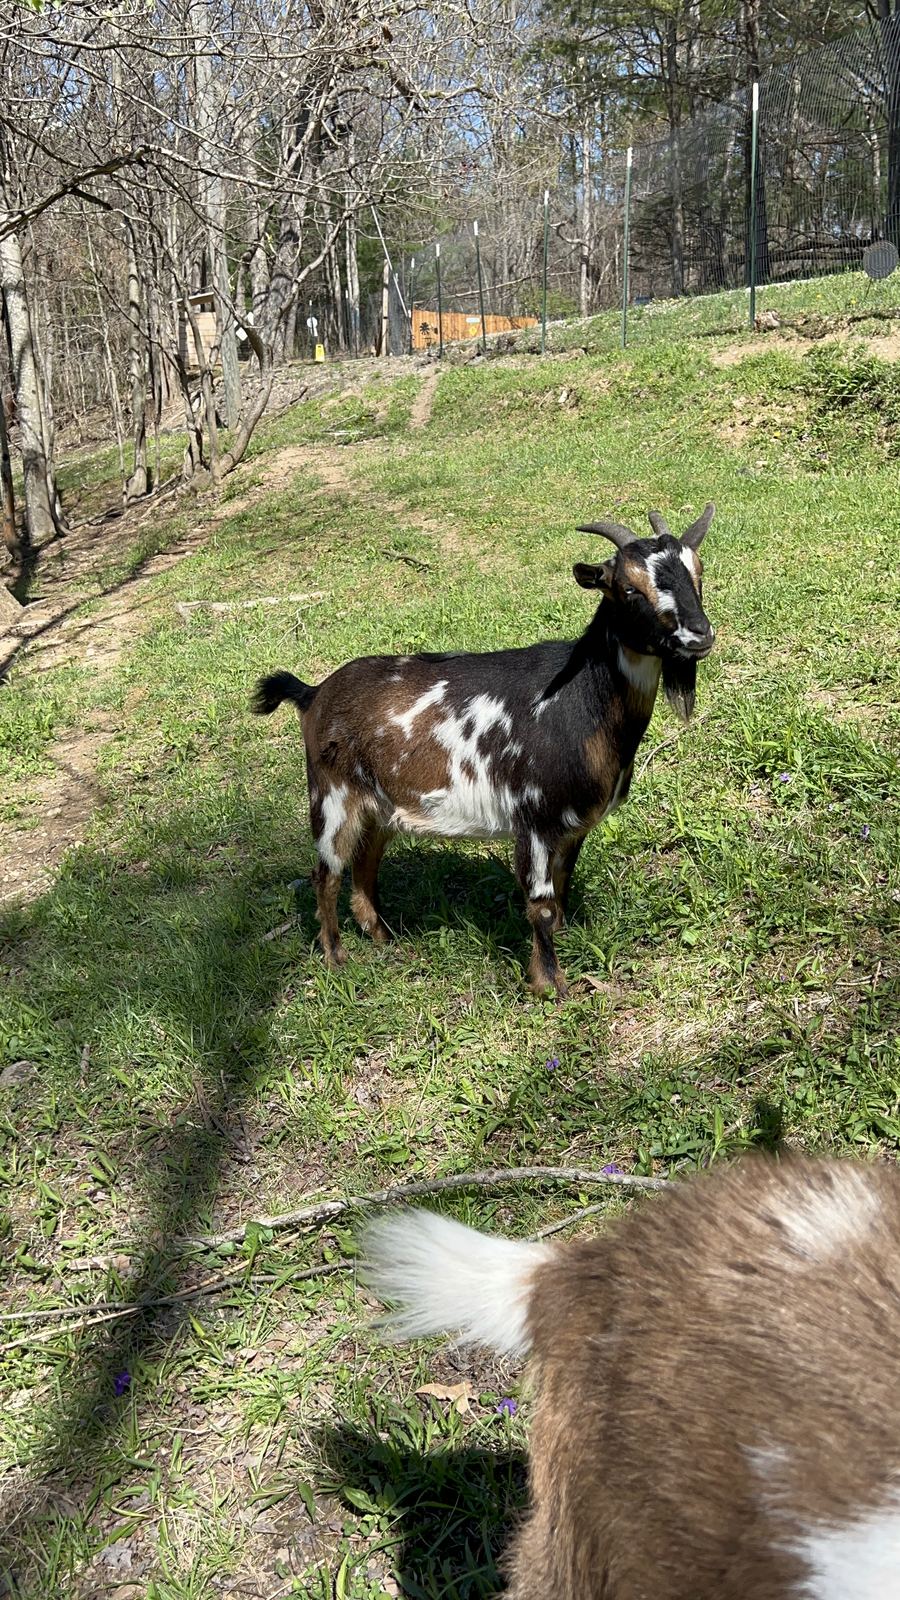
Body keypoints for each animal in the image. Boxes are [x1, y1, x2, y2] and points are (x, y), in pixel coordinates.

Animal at [253, 503, 715, 996]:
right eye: (628, 587)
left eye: (698, 571)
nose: (699, 635)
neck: (580, 697)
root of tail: (313, 693)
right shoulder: (533, 817)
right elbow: (540, 902)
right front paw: (550, 984)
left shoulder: (573, 824)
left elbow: (563, 882)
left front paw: (563, 941)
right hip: (332, 796)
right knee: (326, 872)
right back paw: (335, 957)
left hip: (380, 805)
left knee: (365, 862)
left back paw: (384, 938)